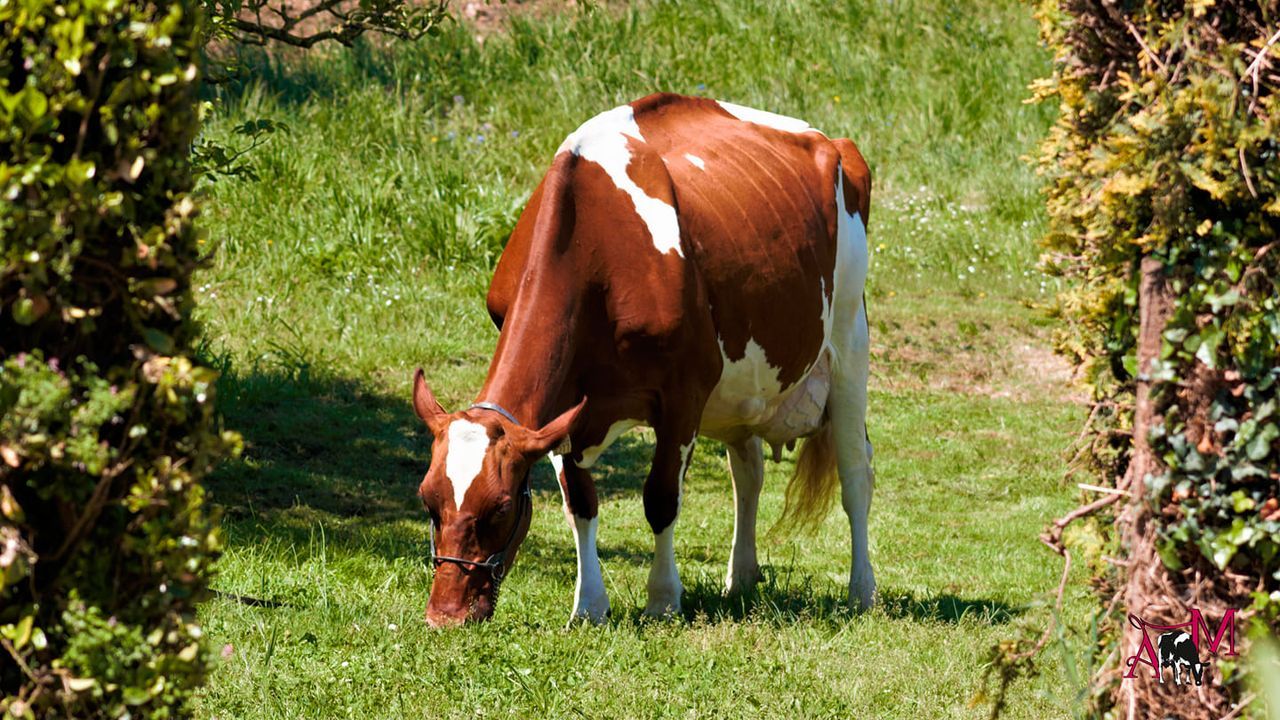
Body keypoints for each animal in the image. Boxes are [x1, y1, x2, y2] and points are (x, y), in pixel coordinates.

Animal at [412, 93, 874, 627]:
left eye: (501, 508)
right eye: (428, 501)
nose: (445, 615)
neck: (596, 245)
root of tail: (831, 141)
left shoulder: (684, 393)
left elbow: (661, 498)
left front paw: (663, 599)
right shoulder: (564, 405)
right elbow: (580, 503)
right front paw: (588, 606)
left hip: (848, 338)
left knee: (856, 472)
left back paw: (862, 591)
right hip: (745, 389)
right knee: (748, 475)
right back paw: (741, 577)